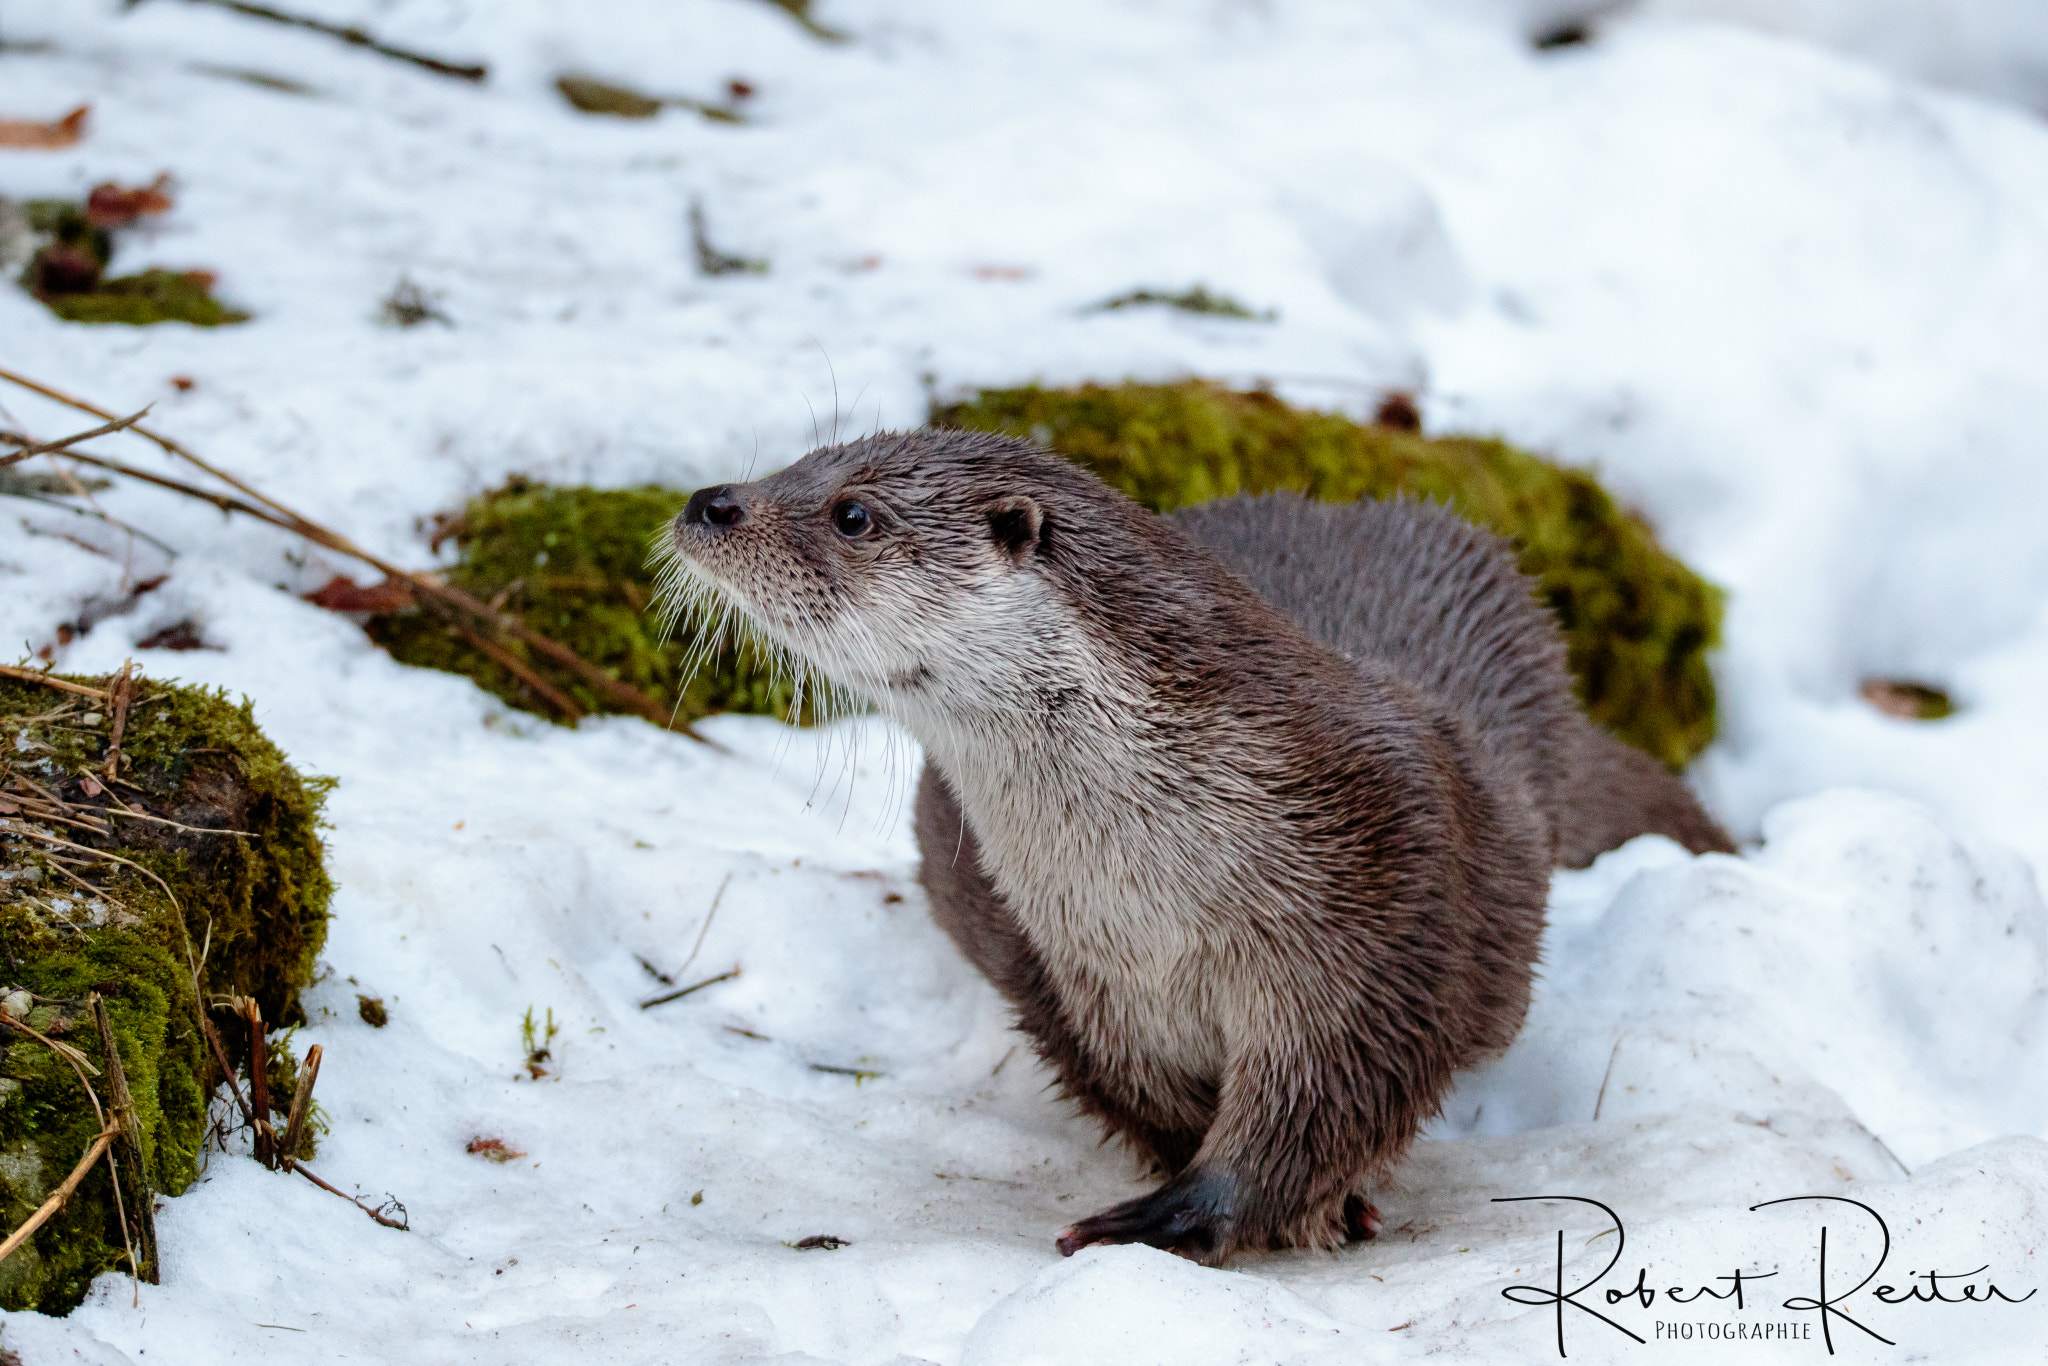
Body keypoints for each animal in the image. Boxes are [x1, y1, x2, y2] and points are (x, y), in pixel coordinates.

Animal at [660, 428, 1731, 1265]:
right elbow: (1147, 1100)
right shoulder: (1072, 975)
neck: (1158, 895)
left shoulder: (1390, 918)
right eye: (800, 458)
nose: (709, 502)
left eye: (852, 513)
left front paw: (1195, 1215)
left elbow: (1338, 1088)